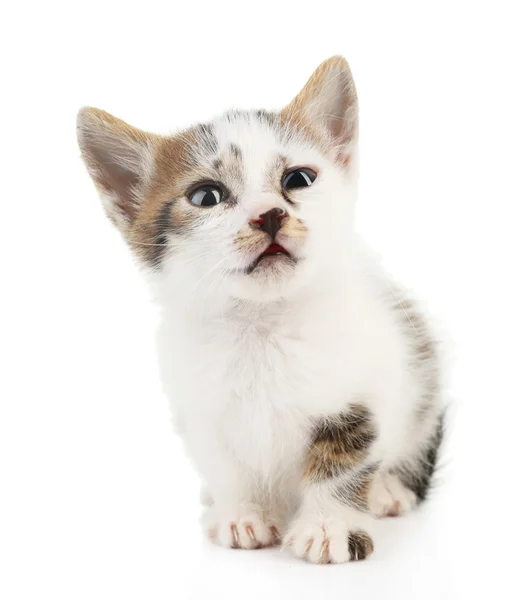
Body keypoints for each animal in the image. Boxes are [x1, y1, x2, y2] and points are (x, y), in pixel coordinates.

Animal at [78, 55, 444, 564]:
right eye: (206, 196)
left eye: (299, 179)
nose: (270, 214)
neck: (262, 324)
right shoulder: (199, 402)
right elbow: (224, 464)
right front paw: (241, 514)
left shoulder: (367, 386)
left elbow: (344, 461)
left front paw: (327, 526)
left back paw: (388, 490)